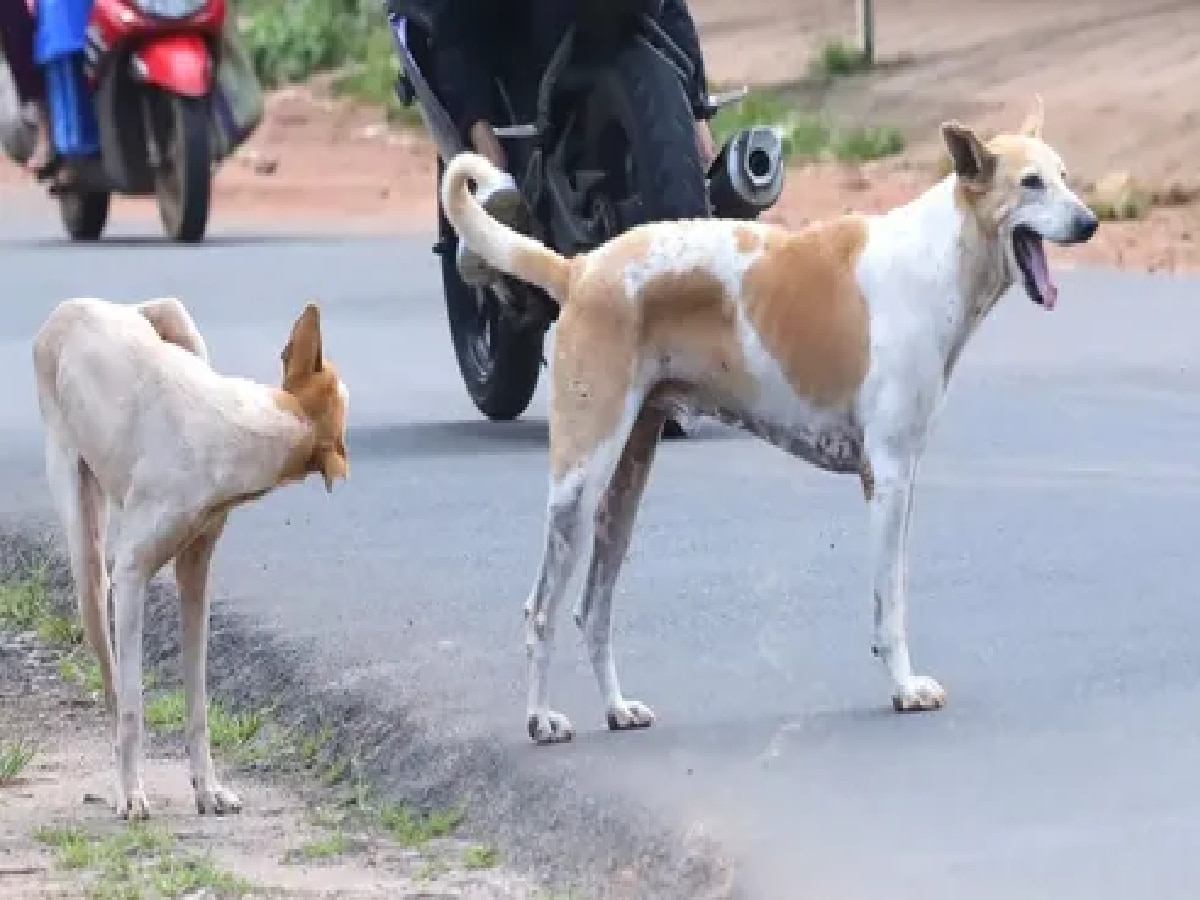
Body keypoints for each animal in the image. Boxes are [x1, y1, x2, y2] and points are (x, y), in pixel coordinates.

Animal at [32, 300, 350, 820]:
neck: (249, 430)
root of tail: (72, 306)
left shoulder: (196, 575)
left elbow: (198, 696)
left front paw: (208, 787)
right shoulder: (131, 575)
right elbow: (134, 706)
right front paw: (133, 792)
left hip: (179, 321)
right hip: (88, 567)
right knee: (114, 690)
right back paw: (120, 785)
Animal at [439, 98, 1099, 748]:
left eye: (1066, 175)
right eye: (1032, 183)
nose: (1091, 223)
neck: (942, 253)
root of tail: (580, 269)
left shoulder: (896, 479)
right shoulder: (888, 476)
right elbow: (891, 603)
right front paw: (905, 688)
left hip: (624, 486)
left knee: (593, 610)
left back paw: (617, 709)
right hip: (580, 483)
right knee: (543, 610)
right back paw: (540, 719)